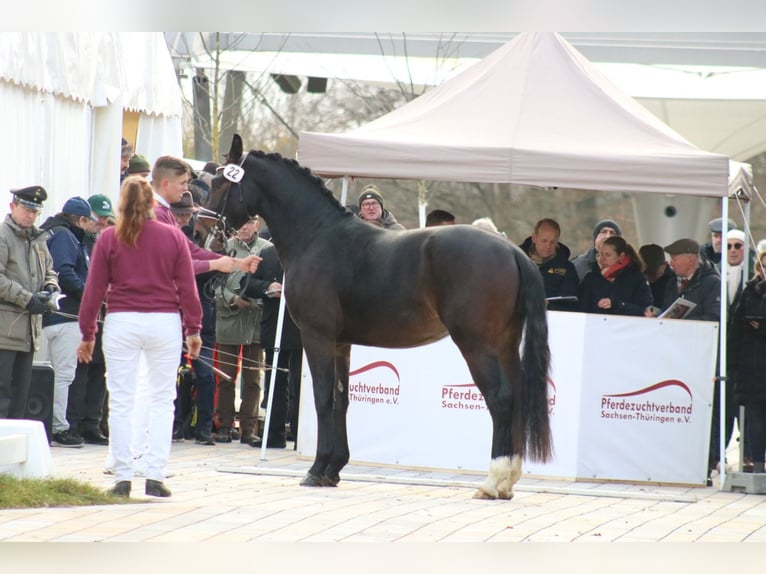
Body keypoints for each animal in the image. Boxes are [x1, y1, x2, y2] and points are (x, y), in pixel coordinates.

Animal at [207, 135, 552, 500]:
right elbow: (341, 400)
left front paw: (316, 470)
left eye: (219, 183)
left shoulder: (317, 336)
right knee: (516, 398)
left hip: (476, 344)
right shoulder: (341, 343)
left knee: (500, 399)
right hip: (505, 344)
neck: (318, 236)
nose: (210, 234)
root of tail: (511, 250)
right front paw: (332, 468)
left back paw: (492, 481)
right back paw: (508, 480)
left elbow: (322, 397)